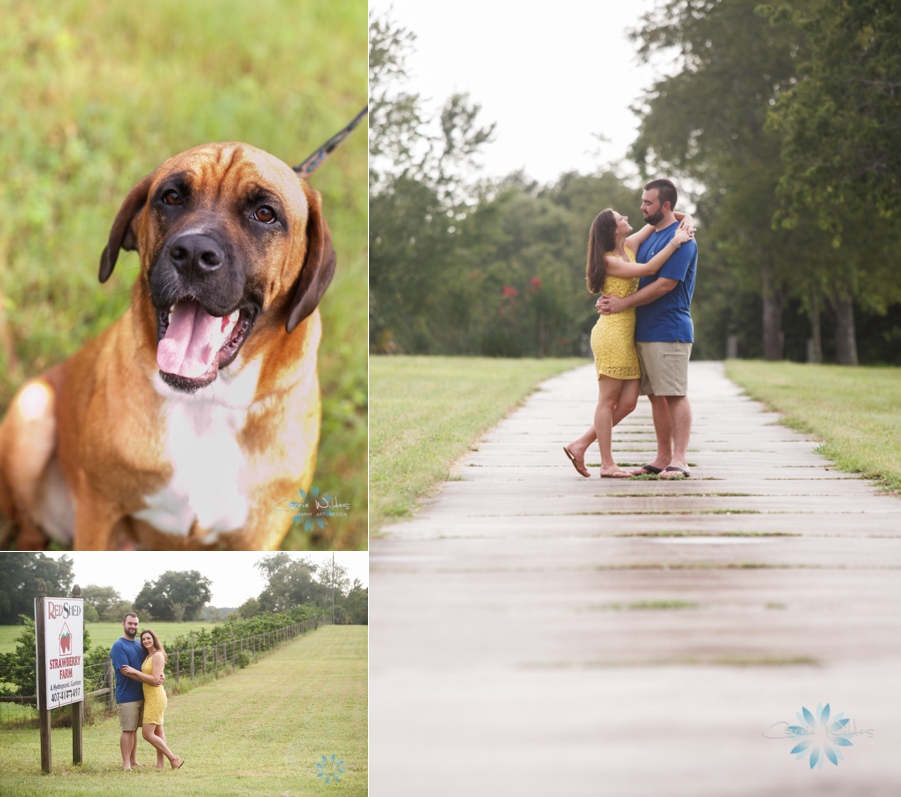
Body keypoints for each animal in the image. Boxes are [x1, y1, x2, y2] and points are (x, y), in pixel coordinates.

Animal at [0, 141, 336, 548]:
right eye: (172, 196)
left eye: (265, 214)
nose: (193, 253)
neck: (207, 401)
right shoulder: (98, 510)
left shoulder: (257, 535)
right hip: (32, 410)